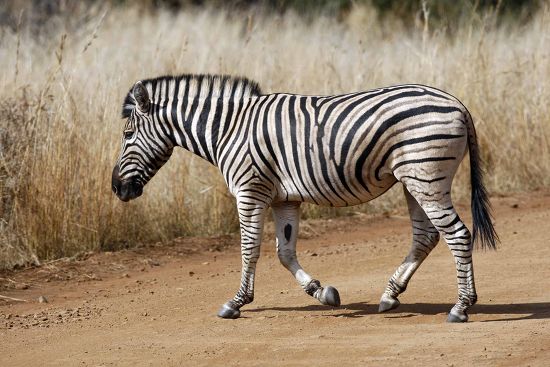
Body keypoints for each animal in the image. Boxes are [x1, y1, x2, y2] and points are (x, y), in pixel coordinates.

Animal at [112, 73, 500, 324]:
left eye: (128, 135)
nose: (118, 189)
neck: (229, 129)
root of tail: (456, 103)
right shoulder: (285, 198)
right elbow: (285, 252)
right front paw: (322, 292)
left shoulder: (250, 190)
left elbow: (249, 249)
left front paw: (236, 303)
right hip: (414, 179)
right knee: (427, 236)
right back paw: (391, 295)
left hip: (425, 175)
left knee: (457, 235)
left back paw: (461, 307)